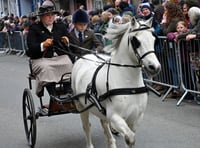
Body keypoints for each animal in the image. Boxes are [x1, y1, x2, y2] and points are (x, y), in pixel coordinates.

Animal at [71, 16, 161, 147]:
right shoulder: (115, 116)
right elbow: (130, 138)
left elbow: (131, 138)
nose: (155, 67)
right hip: (81, 105)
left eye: (154, 40)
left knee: (104, 124)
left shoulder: (136, 118)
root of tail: (84, 56)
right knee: (86, 126)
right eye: (136, 41)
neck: (129, 85)